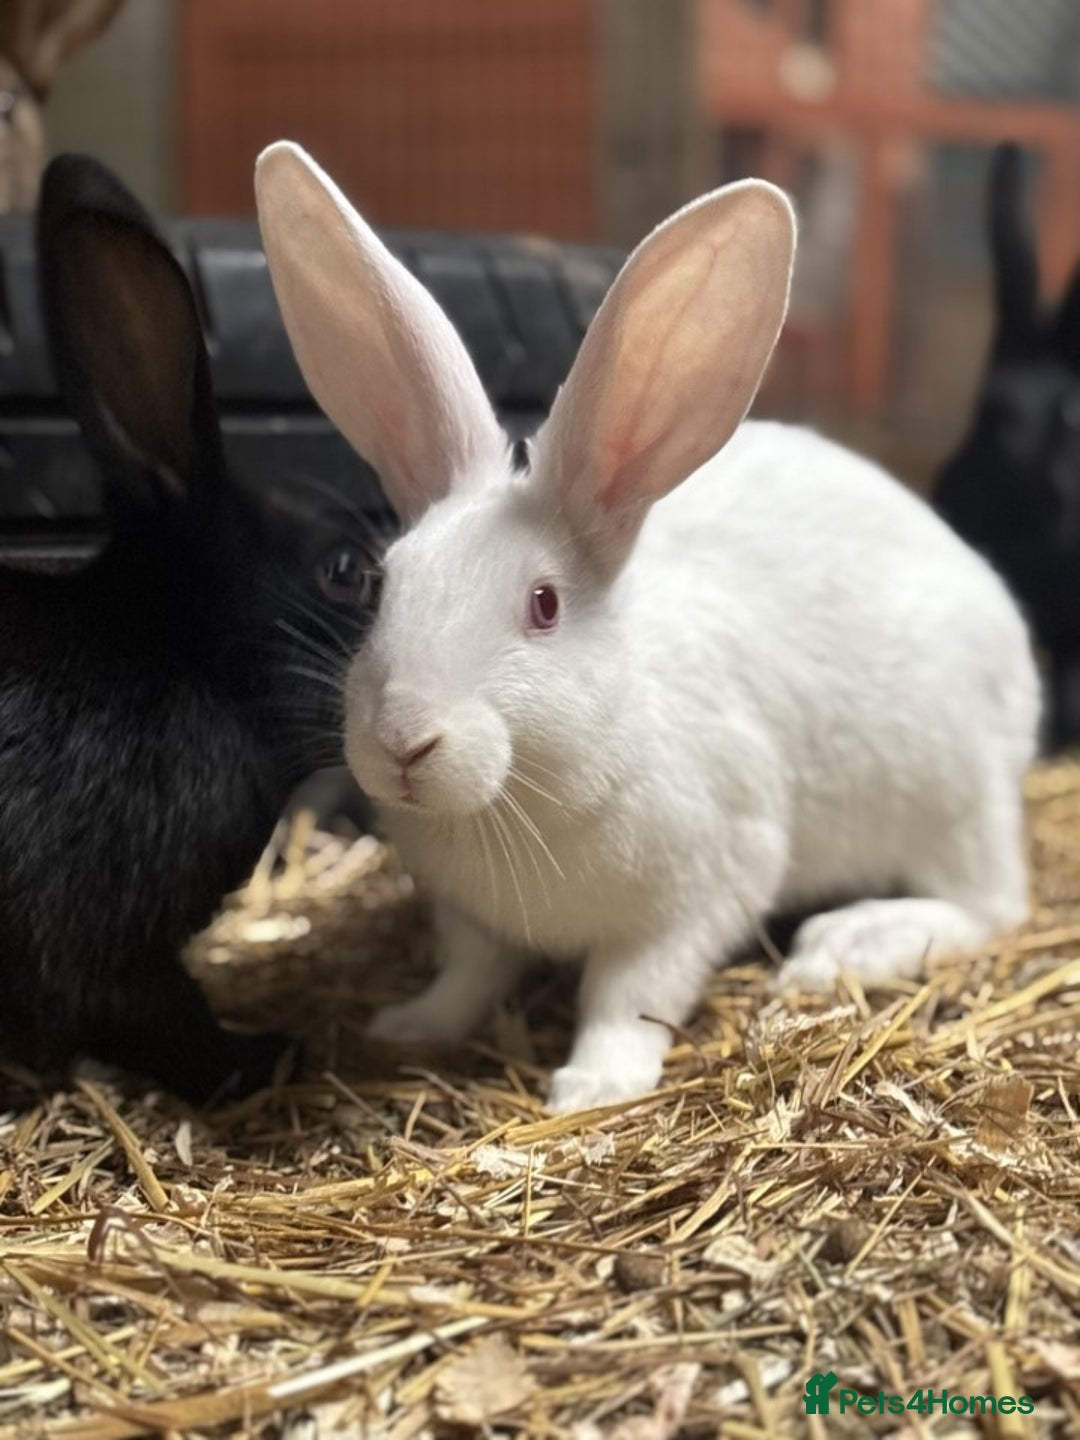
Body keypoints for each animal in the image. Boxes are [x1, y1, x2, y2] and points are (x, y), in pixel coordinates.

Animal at [256, 141, 1039, 1115]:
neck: (523, 796)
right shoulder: (470, 917)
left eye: (544, 605)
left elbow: (626, 994)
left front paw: (592, 1087)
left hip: (951, 794)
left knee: (991, 904)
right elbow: (469, 975)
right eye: (380, 584)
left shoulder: (695, 895)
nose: (403, 740)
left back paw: (845, 943)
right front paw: (408, 1026)